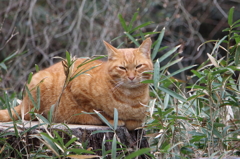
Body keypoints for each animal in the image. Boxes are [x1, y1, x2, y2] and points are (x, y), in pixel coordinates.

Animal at [0, 38, 153, 130]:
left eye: (138, 66)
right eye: (122, 68)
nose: (132, 77)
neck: (130, 97)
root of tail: (23, 103)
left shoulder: (140, 117)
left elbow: (136, 122)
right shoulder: (78, 88)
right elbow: (97, 110)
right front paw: (111, 119)